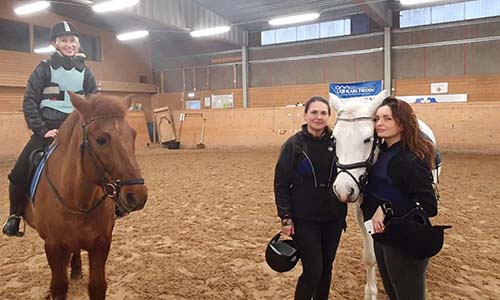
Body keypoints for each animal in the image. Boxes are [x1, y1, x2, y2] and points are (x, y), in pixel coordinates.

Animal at [22, 92, 147, 298]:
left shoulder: (101, 243)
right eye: (101, 139)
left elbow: (97, 286)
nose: (137, 196)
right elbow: (58, 286)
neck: (78, 201)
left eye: (133, 135)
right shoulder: (53, 246)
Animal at [328, 91, 442, 300]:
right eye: (334, 139)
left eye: (367, 139)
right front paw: (370, 292)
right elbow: (370, 256)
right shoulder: (362, 212)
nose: (343, 190)